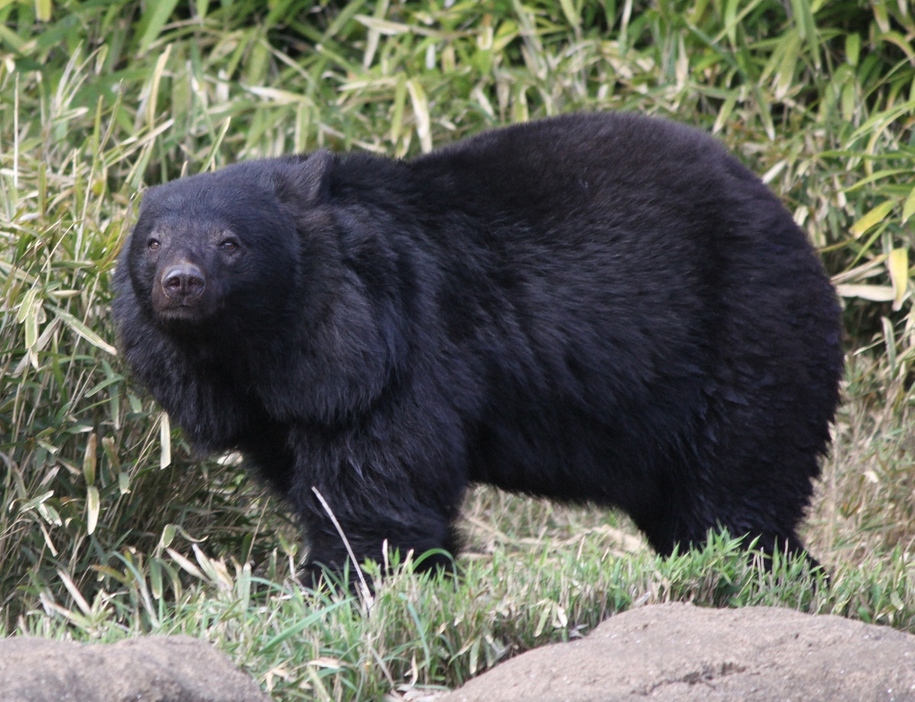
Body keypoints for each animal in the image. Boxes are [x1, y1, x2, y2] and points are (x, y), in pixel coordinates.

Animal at [114, 113, 844, 580]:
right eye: (152, 242)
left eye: (230, 243)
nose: (181, 283)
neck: (260, 347)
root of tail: (793, 231)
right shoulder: (274, 402)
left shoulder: (392, 348)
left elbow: (379, 476)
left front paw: (350, 579)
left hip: (744, 337)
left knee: (735, 482)